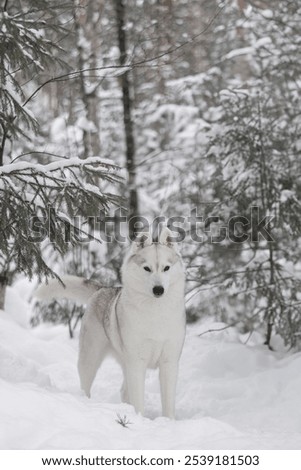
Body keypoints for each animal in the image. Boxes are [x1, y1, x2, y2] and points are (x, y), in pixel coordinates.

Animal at [35, 228, 185, 418]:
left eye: (166, 268)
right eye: (147, 268)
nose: (158, 290)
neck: (155, 313)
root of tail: (102, 289)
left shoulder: (169, 362)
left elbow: (168, 404)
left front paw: (167, 421)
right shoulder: (137, 363)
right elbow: (138, 401)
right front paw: (140, 418)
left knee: (124, 391)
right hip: (90, 359)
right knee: (86, 386)